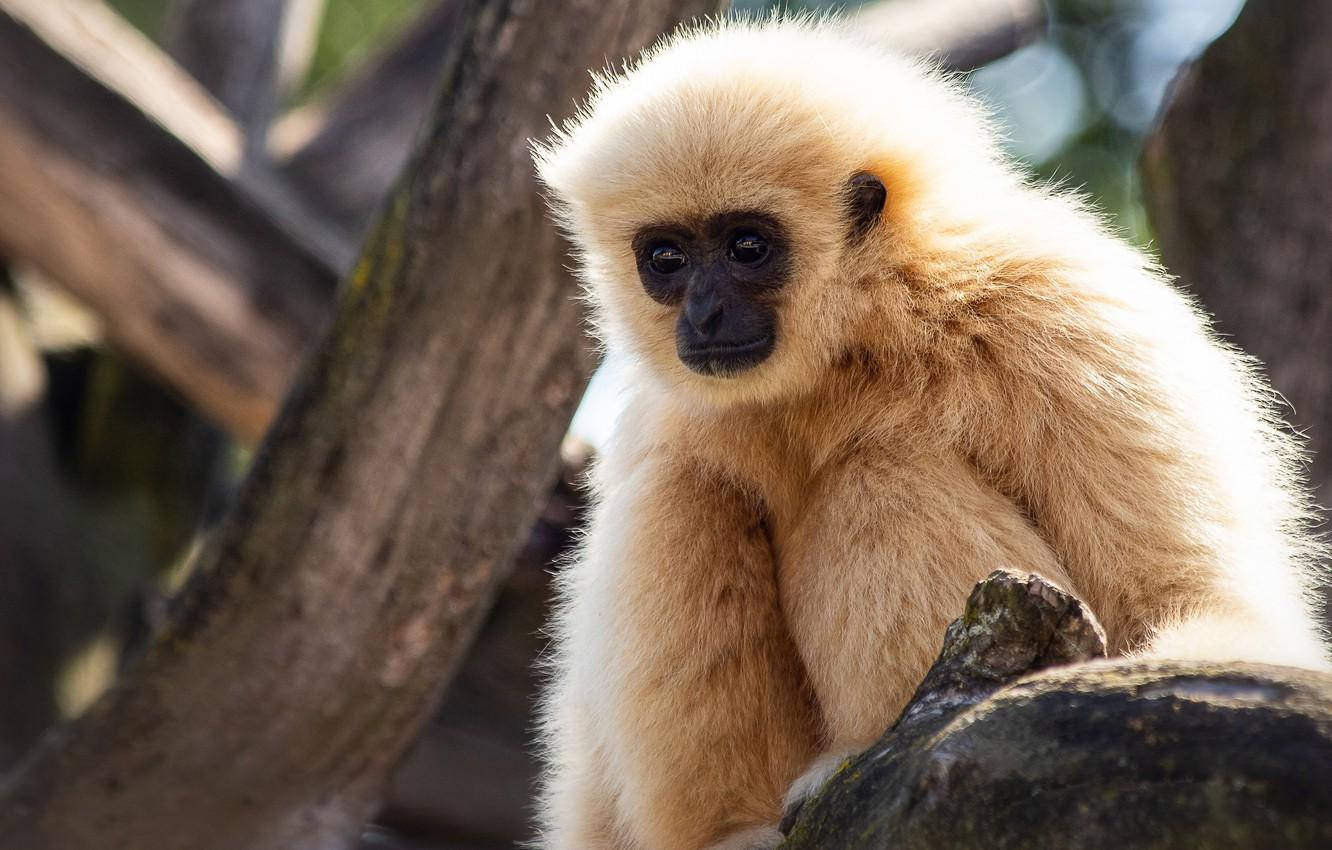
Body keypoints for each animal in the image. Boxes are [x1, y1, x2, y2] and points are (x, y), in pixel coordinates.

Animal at [529, 15, 1331, 850]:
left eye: (748, 246)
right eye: (666, 258)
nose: (705, 312)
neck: (856, 341)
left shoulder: (1064, 320)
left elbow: (1195, 606)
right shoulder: (668, 412)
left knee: (879, 469)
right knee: (681, 489)